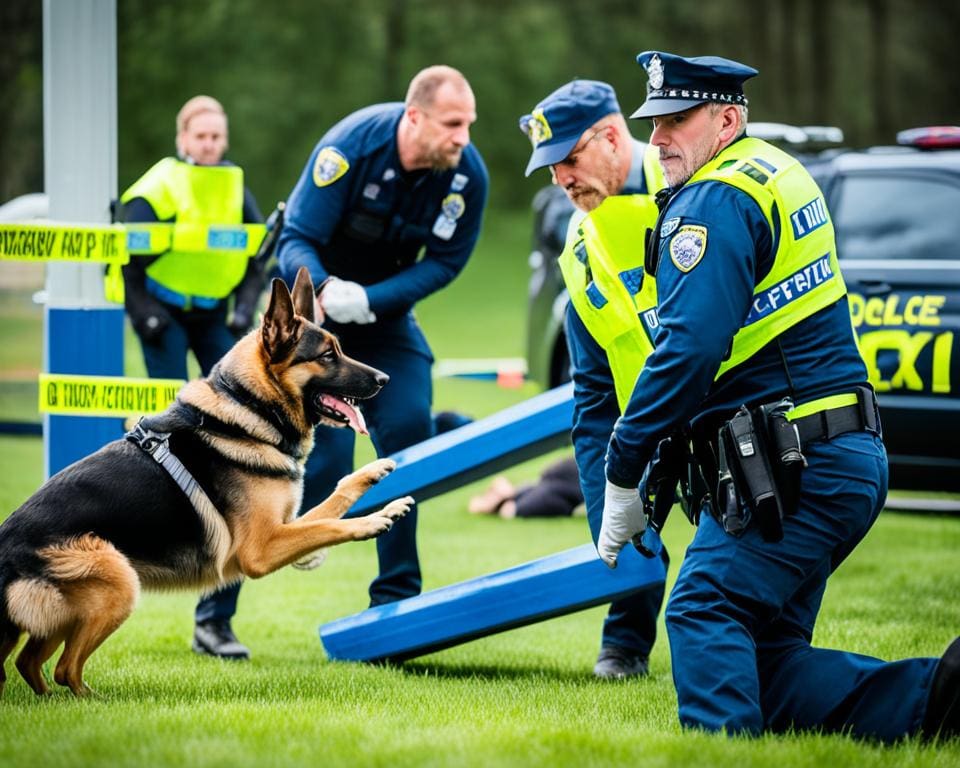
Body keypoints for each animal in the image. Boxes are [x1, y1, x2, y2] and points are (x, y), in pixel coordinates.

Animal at [0, 268, 412, 696]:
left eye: (340, 349)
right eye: (328, 356)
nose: (384, 378)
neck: (250, 409)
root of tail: (5, 553)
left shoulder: (281, 526)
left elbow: (332, 502)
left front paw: (379, 484)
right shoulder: (261, 549)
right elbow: (329, 525)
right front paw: (372, 521)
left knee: (28, 662)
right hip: (118, 580)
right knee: (65, 668)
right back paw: (91, 701)